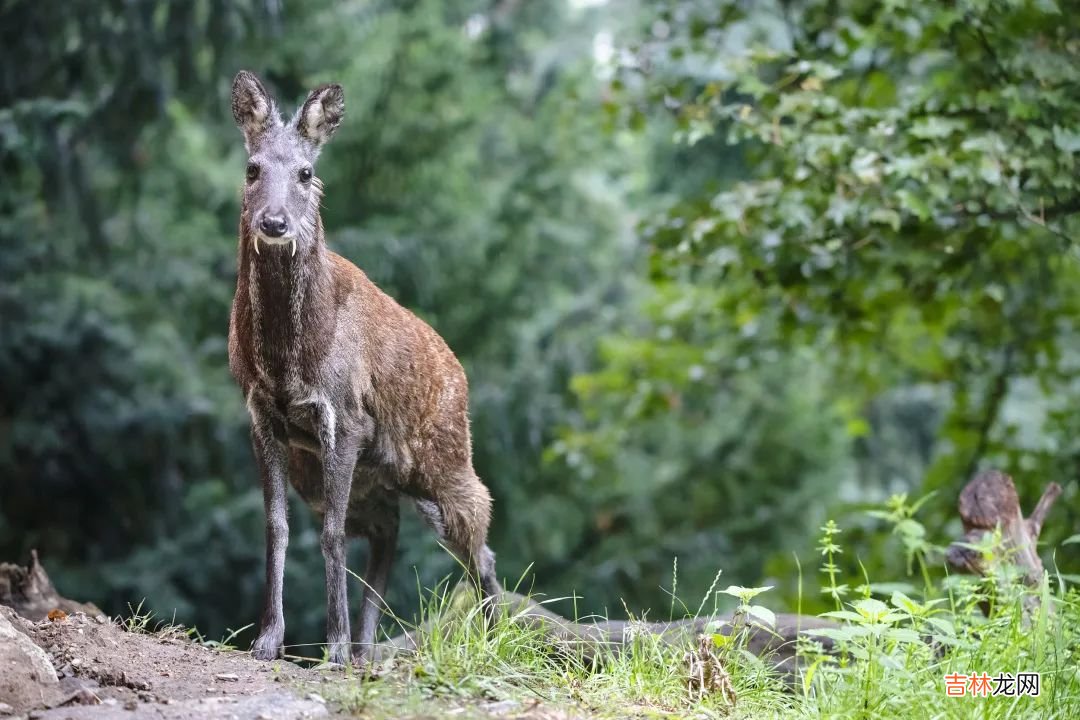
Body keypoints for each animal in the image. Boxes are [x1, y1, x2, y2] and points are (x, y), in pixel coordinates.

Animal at [227, 70, 501, 669]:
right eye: (252, 168)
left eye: (306, 173)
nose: (274, 223)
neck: (289, 361)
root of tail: (460, 373)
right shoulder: (262, 416)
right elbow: (277, 528)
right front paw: (267, 641)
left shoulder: (347, 416)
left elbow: (330, 535)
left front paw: (328, 645)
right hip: (368, 477)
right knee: (386, 535)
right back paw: (365, 648)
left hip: (445, 459)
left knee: (480, 541)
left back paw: (494, 642)